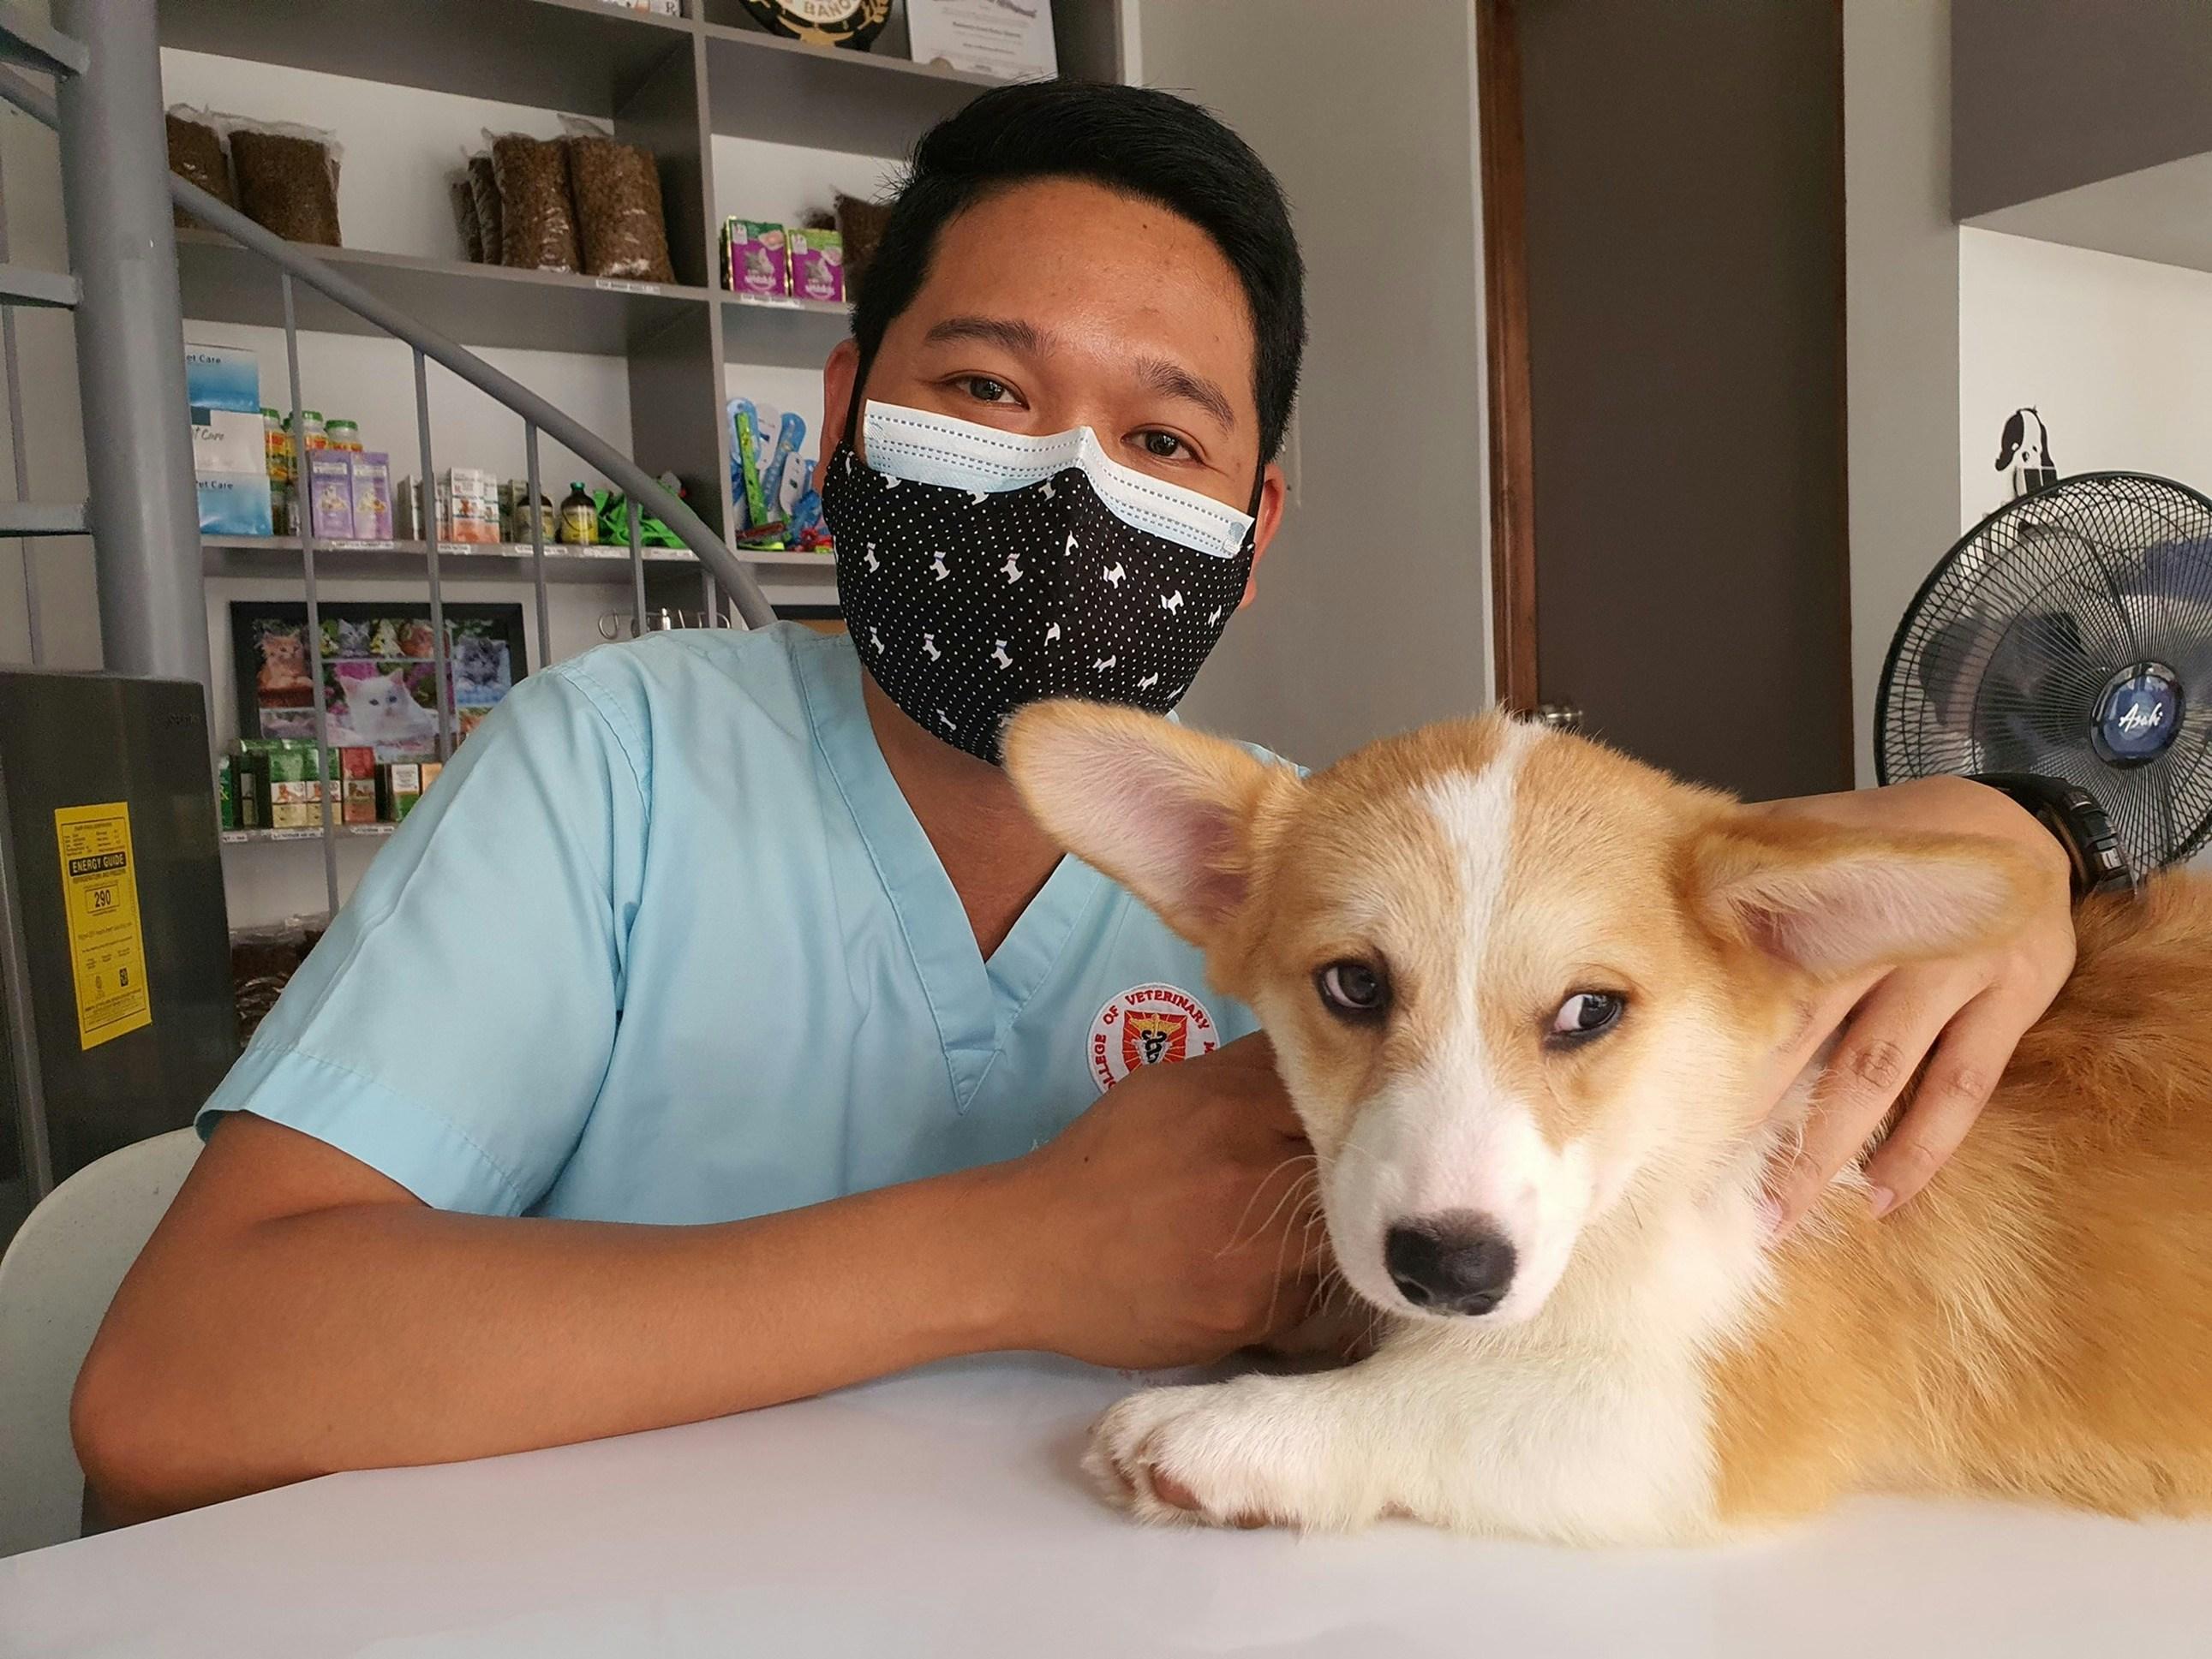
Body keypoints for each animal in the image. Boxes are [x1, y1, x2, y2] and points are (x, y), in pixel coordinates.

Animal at [1004, 703, 2212, 1548]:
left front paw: (1228, 1430)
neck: (1660, 1163)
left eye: (1590, 1010)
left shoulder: (1696, 1419)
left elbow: (1443, 1396)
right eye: (1352, 984)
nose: (1448, 1270)